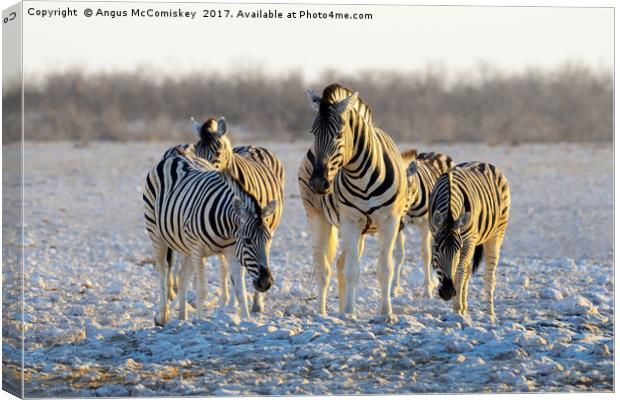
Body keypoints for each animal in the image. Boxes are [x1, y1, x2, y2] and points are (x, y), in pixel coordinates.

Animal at [145, 147, 276, 324]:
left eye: (269, 240)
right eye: (248, 240)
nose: (265, 283)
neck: (227, 229)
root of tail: (176, 157)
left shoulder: (233, 251)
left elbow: (240, 290)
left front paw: (246, 320)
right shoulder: (198, 250)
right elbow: (202, 290)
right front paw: (199, 321)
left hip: (185, 245)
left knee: (182, 275)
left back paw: (182, 318)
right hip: (156, 233)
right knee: (163, 269)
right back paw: (162, 316)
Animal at [189, 115, 286, 312]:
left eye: (217, 153)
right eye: (196, 151)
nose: (201, 171)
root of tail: (253, 146)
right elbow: (229, 267)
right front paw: (229, 303)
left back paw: (257, 303)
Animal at [298, 83, 410, 322]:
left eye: (339, 134)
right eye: (313, 133)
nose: (318, 182)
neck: (360, 176)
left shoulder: (390, 221)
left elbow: (384, 268)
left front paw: (386, 313)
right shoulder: (350, 220)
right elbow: (351, 270)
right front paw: (349, 312)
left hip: (362, 231)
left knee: (339, 263)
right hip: (317, 217)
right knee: (324, 267)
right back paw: (321, 312)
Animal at [392, 149, 456, 296]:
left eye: (406, 191)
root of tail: (435, 153)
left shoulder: (425, 224)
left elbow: (426, 253)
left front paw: (428, 289)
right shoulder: (400, 225)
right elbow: (399, 254)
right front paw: (394, 287)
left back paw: (434, 282)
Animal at [428, 161, 512, 318]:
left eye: (458, 248)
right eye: (436, 248)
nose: (447, 293)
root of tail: (485, 163)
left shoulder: (468, 240)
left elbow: (459, 272)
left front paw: (456, 309)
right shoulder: (433, 232)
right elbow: (460, 272)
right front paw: (459, 307)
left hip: (497, 233)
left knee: (489, 275)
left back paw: (490, 313)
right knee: (468, 271)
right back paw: (465, 306)